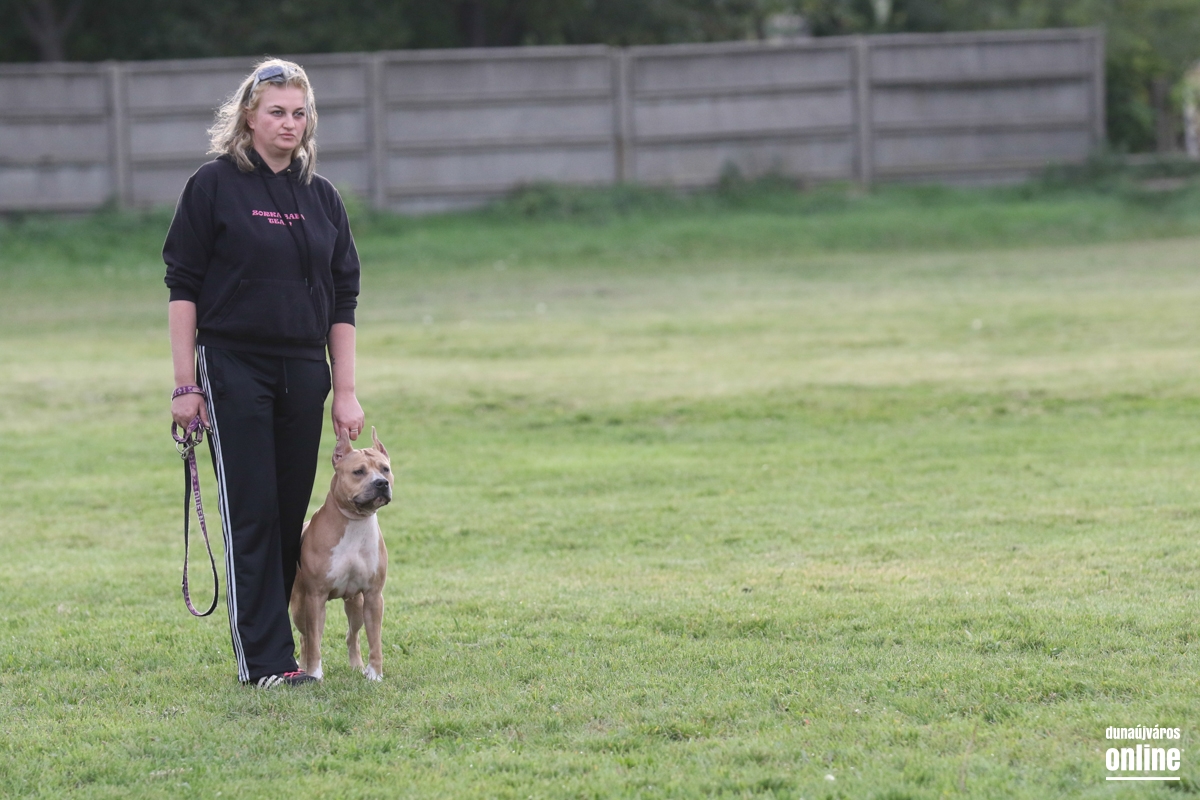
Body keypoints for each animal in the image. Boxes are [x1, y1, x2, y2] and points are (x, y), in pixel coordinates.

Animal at [290, 427, 392, 681]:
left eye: (385, 468)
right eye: (358, 472)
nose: (381, 483)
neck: (355, 521)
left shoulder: (373, 595)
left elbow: (375, 639)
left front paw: (374, 674)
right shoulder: (315, 597)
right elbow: (314, 642)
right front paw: (315, 674)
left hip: (355, 604)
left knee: (352, 635)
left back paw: (357, 665)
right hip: (299, 607)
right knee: (306, 638)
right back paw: (303, 667)